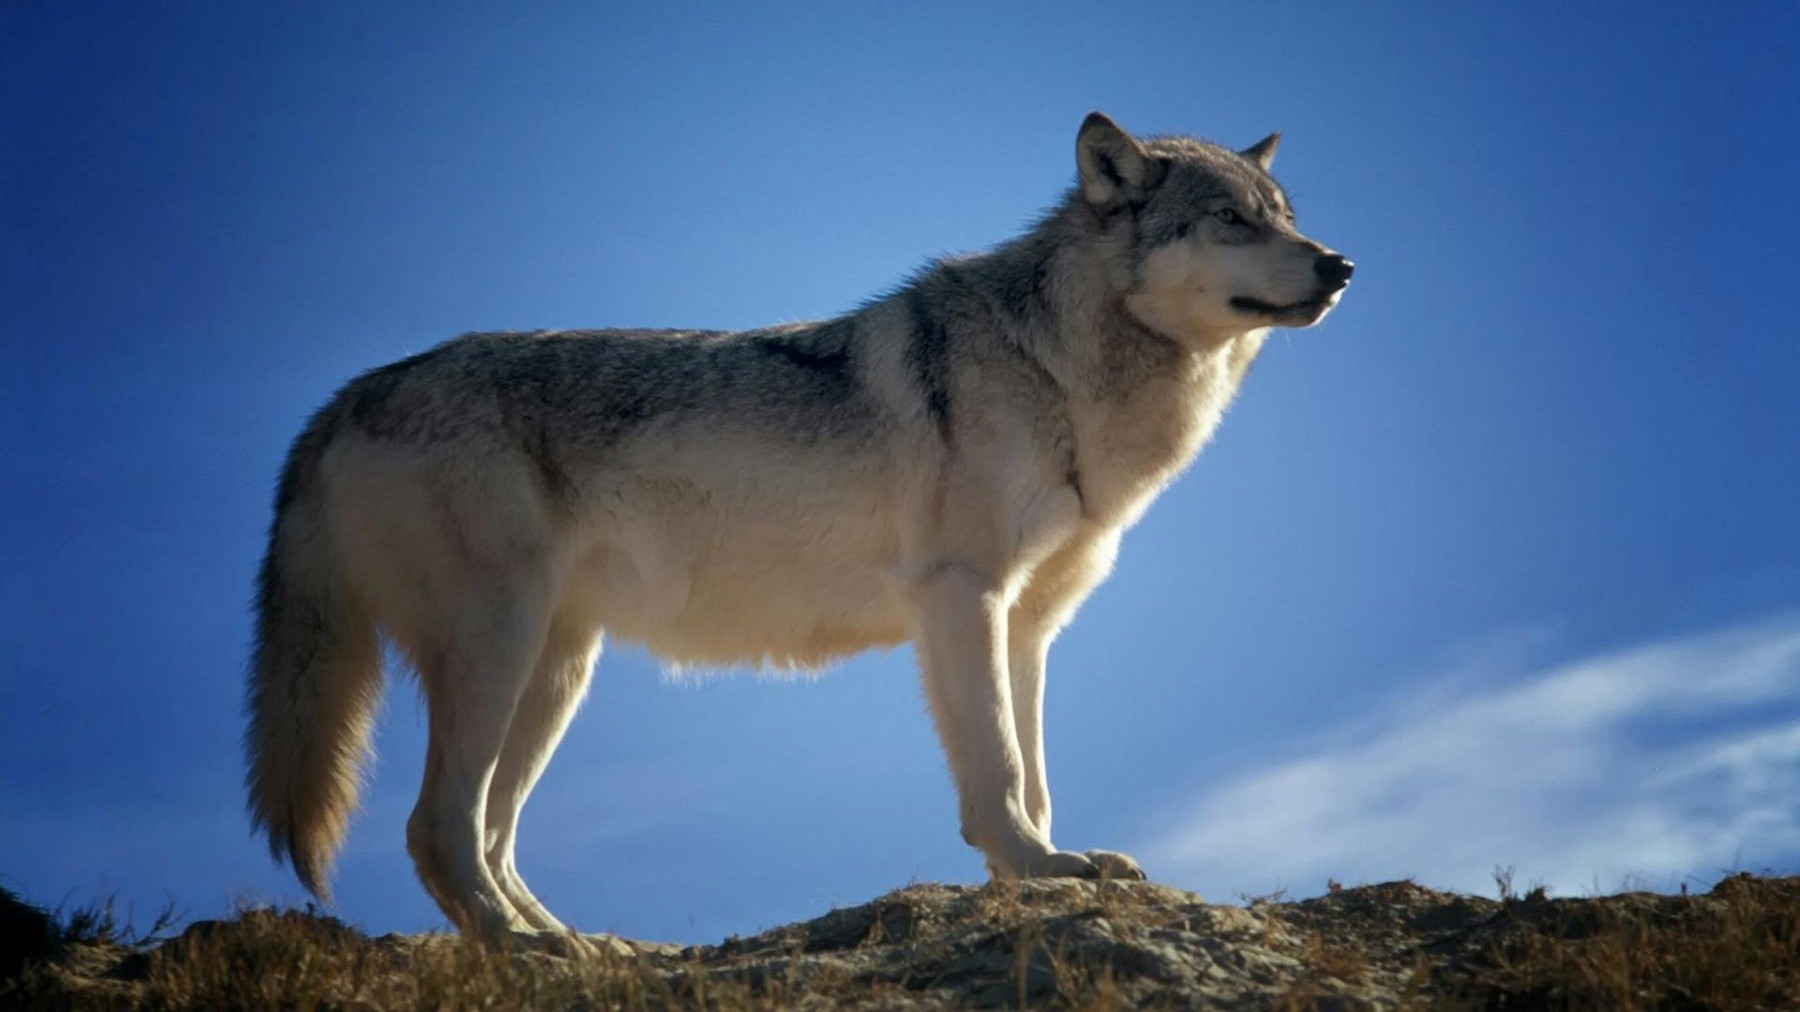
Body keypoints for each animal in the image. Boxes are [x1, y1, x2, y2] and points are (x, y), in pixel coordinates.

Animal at [245, 112, 1352, 952]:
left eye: (1285, 218)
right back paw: (523, 949)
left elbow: (1034, 773)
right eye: (1230, 221)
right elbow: (997, 771)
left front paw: (1043, 869)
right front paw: (1037, 869)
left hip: (556, 674)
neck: (1059, 369)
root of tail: (344, 398)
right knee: (438, 827)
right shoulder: (962, 597)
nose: (1340, 266)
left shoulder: (1029, 625)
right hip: (500, 650)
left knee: (491, 833)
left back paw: (578, 944)